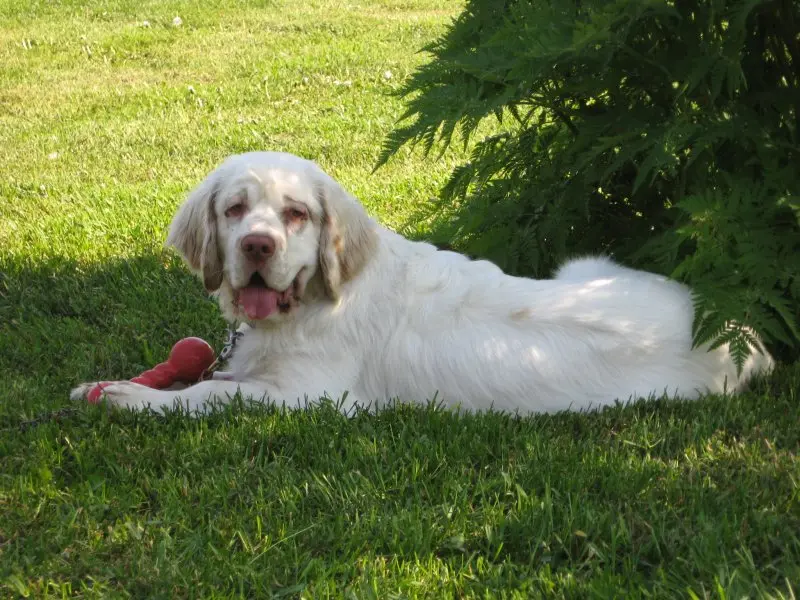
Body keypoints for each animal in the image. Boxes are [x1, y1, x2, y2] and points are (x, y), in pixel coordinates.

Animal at [72, 150, 772, 414]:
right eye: (235, 210)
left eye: (296, 214)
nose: (256, 246)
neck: (313, 304)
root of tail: (744, 333)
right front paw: (109, 383)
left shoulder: (308, 396)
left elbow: (209, 393)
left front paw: (125, 397)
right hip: (584, 267)